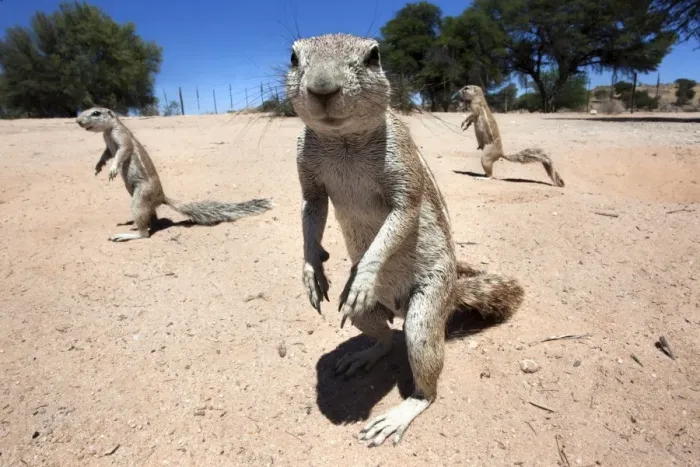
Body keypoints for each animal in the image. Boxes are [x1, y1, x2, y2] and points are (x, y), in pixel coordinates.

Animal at [76, 107, 272, 241]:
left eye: (95, 113)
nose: (77, 120)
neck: (108, 131)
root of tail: (162, 196)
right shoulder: (108, 146)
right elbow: (105, 155)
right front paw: (98, 167)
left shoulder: (122, 139)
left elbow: (121, 153)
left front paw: (113, 169)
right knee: (152, 218)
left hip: (139, 198)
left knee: (145, 234)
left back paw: (126, 234)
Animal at [287, 34, 524, 447]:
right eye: (293, 57)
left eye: (373, 57)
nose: (322, 87)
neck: (343, 139)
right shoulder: (308, 176)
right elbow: (310, 215)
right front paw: (311, 272)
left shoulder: (402, 170)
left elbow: (401, 217)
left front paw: (364, 277)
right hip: (363, 314)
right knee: (385, 338)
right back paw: (363, 354)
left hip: (425, 316)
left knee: (426, 384)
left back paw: (398, 414)